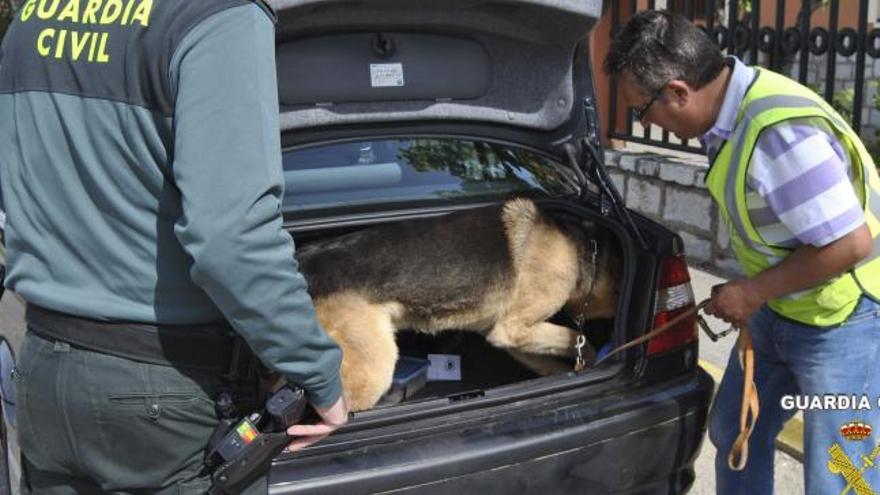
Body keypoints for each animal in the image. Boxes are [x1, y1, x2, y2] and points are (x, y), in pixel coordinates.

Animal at [296, 198, 620, 410]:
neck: (584, 248)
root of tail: (302, 262)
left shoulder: (510, 339)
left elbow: (549, 358)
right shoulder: (513, 328)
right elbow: (576, 338)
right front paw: (594, 359)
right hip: (374, 368)